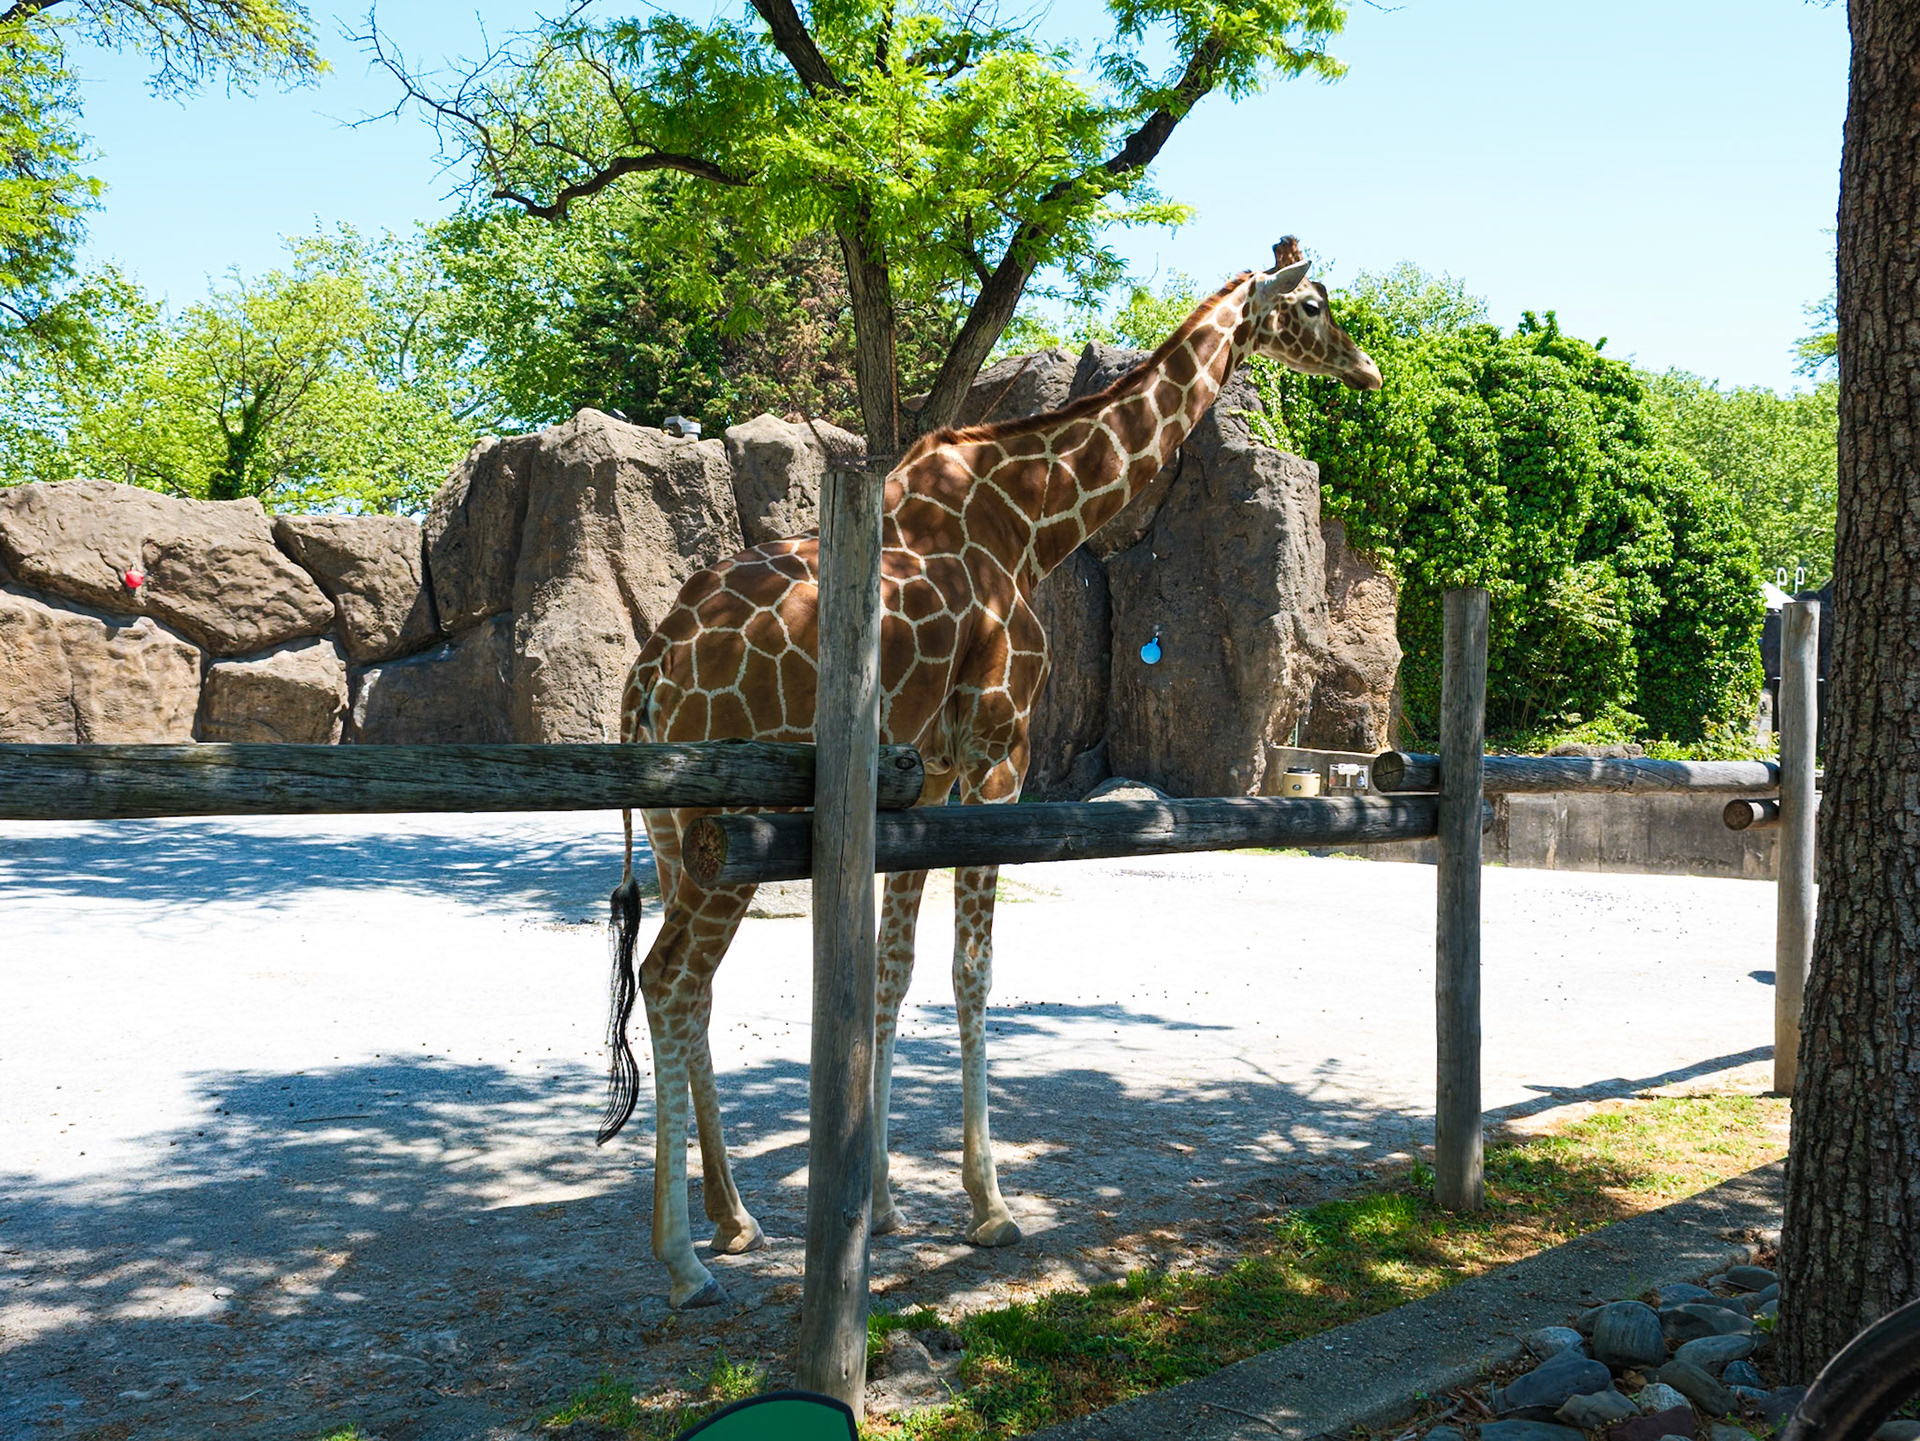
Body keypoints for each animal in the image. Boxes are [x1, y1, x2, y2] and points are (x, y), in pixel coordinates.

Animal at [608, 238, 1382, 1308]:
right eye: (1314, 304)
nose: (1369, 370)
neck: (1036, 517)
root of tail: (651, 670)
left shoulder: (929, 770)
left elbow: (892, 971)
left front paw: (885, 1202)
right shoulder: (999, 749)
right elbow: (972, 970)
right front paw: (990, 1205)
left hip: (681, 826)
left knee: (686, 982)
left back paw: (734, 1219)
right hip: (737, 814)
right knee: (672, 976)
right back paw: (682, 1259)